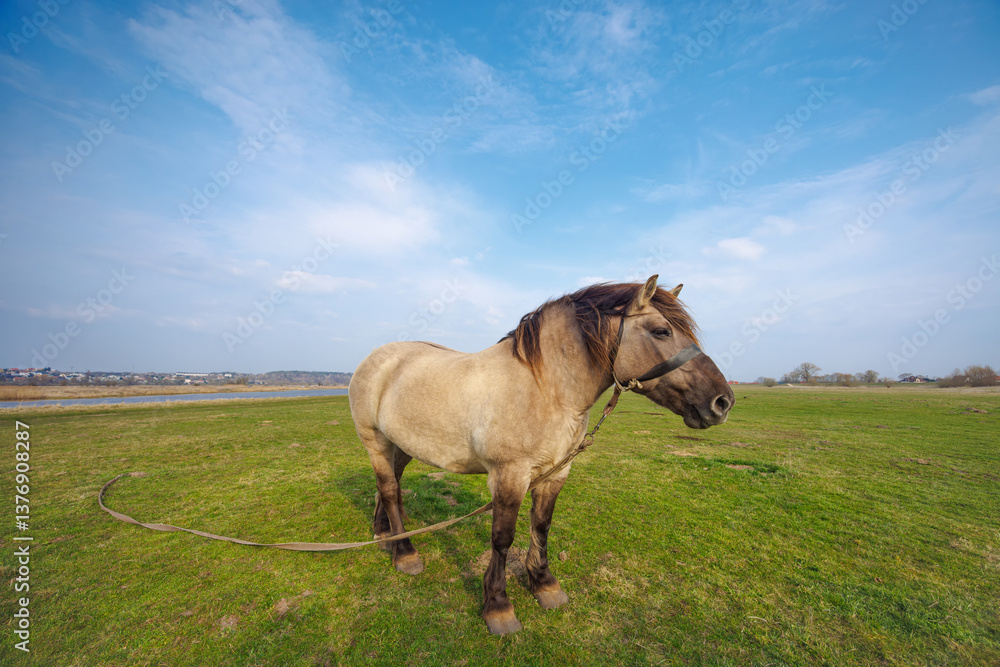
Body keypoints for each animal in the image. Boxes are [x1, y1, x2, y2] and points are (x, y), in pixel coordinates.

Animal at [348, 275, 734, 635]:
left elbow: (541, 526)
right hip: (375, 441)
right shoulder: (509, 476)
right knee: (389, 489)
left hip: (401, 446)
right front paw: (498, 606)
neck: (546, 388)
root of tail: (376, 358)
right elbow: (502, 538)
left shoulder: (555, 474)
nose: (722, 401)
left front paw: (544, 585)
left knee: (391, 487)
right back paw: (405, 554)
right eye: (661, 331)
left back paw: (385, 536)